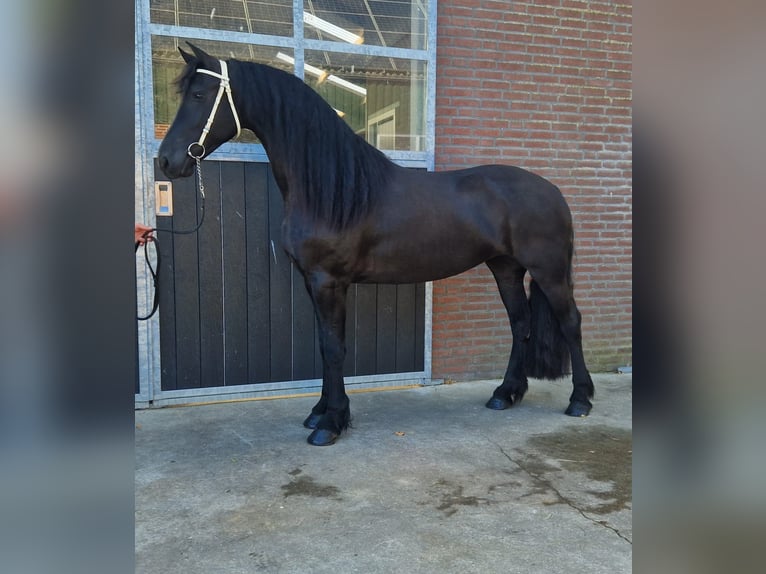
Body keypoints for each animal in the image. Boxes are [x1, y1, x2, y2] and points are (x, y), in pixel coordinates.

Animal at [157, 44, 595, 446]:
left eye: (199, 96)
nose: (166, 161)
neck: (333, 190)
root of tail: (554, 192)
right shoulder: (312, 282)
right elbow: (324, 346)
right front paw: (319, 412)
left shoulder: (328, 281)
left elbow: (334, 348)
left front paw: (331, 423)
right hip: (506, 267)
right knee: (520, 323)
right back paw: (506, 394)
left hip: (548, 271)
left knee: (571, 322)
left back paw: (580, 400)